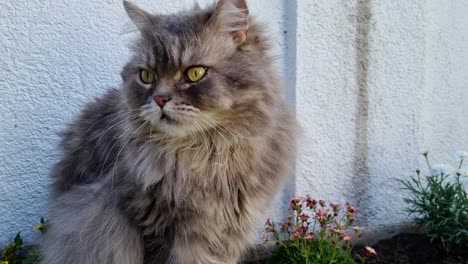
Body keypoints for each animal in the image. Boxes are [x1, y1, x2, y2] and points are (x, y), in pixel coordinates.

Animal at [41, 0, 296, 264]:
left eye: (195, 73)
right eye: (146, 76)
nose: (160, 99)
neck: (209, 152)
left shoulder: (231, 229)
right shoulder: (151, 222)